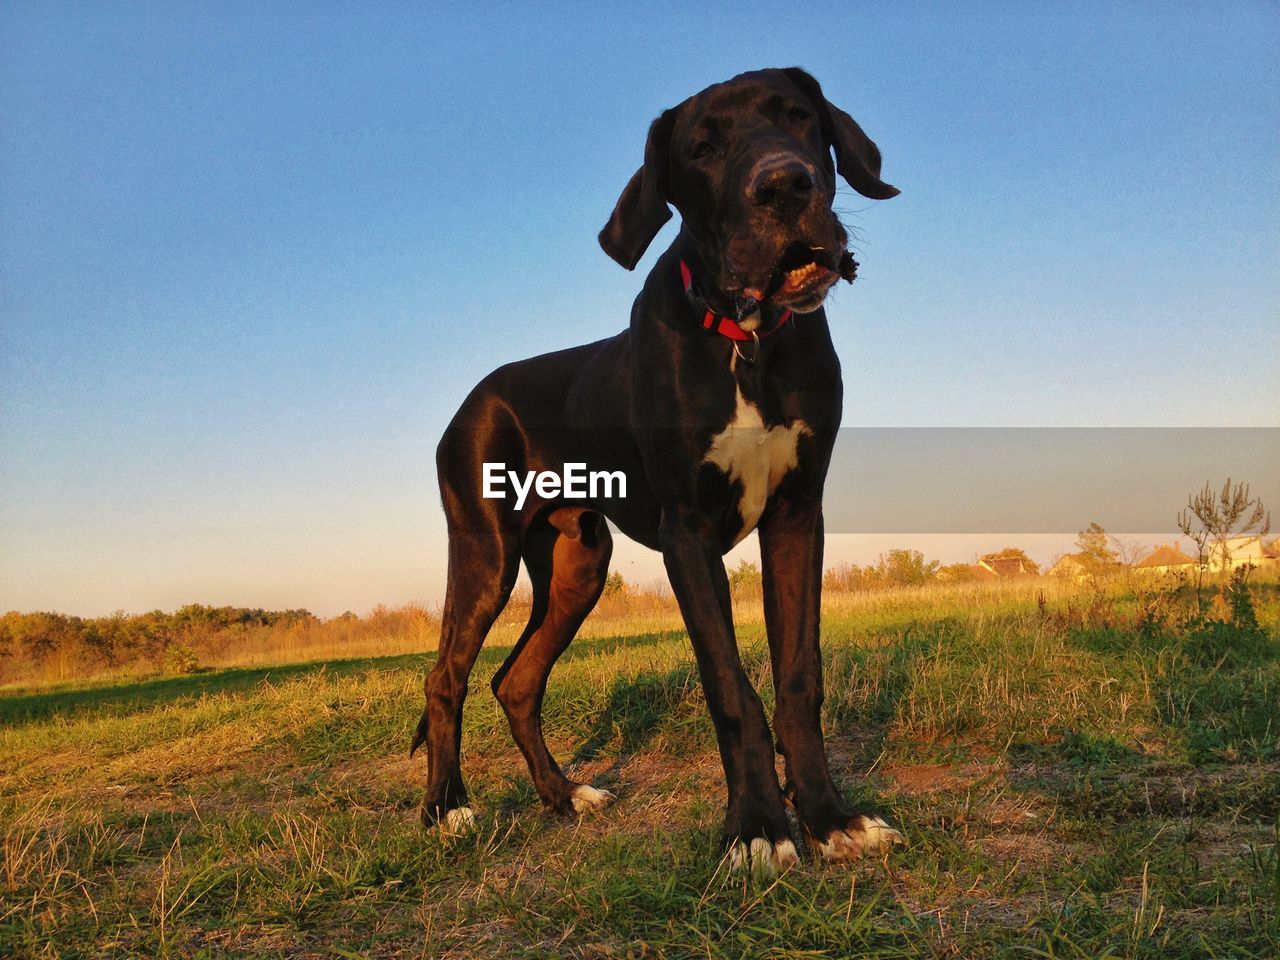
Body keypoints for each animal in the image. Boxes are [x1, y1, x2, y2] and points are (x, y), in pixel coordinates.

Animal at [409, 69, 901, 880]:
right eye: (701, 149)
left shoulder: (798, 516)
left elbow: (799, 676)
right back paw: (447, 810)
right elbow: (730, 686)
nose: (785, 185)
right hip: (485, 550)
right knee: (446, 676)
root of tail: (471, 400)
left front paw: (831, 819)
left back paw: (565, 796)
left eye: (800, 117)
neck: (743, 341)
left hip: (577, 563)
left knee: (516, 681)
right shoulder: (687, 535)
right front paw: (757, 830)